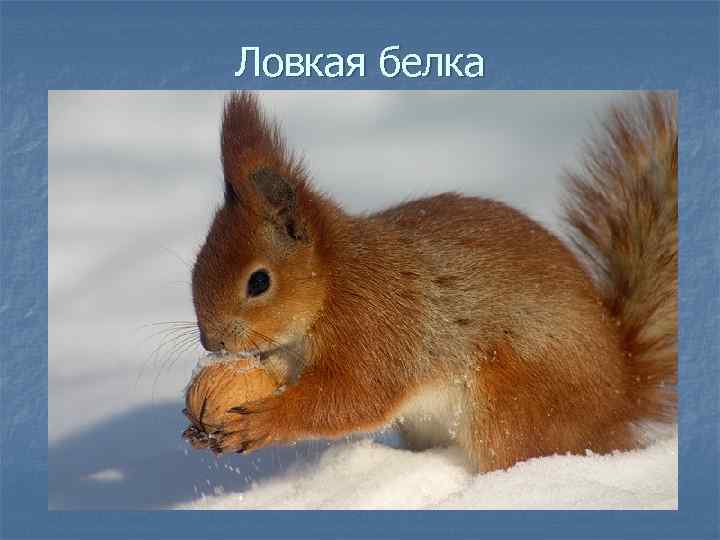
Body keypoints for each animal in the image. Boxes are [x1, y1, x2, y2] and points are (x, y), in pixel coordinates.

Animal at [189, 91, 677, 473]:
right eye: (196, 265)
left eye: (258, 282)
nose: (212, 342)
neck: (334, 282)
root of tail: (622, 396)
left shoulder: (376, 326)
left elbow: (352, 396)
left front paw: (262, 421)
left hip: (513, 406)